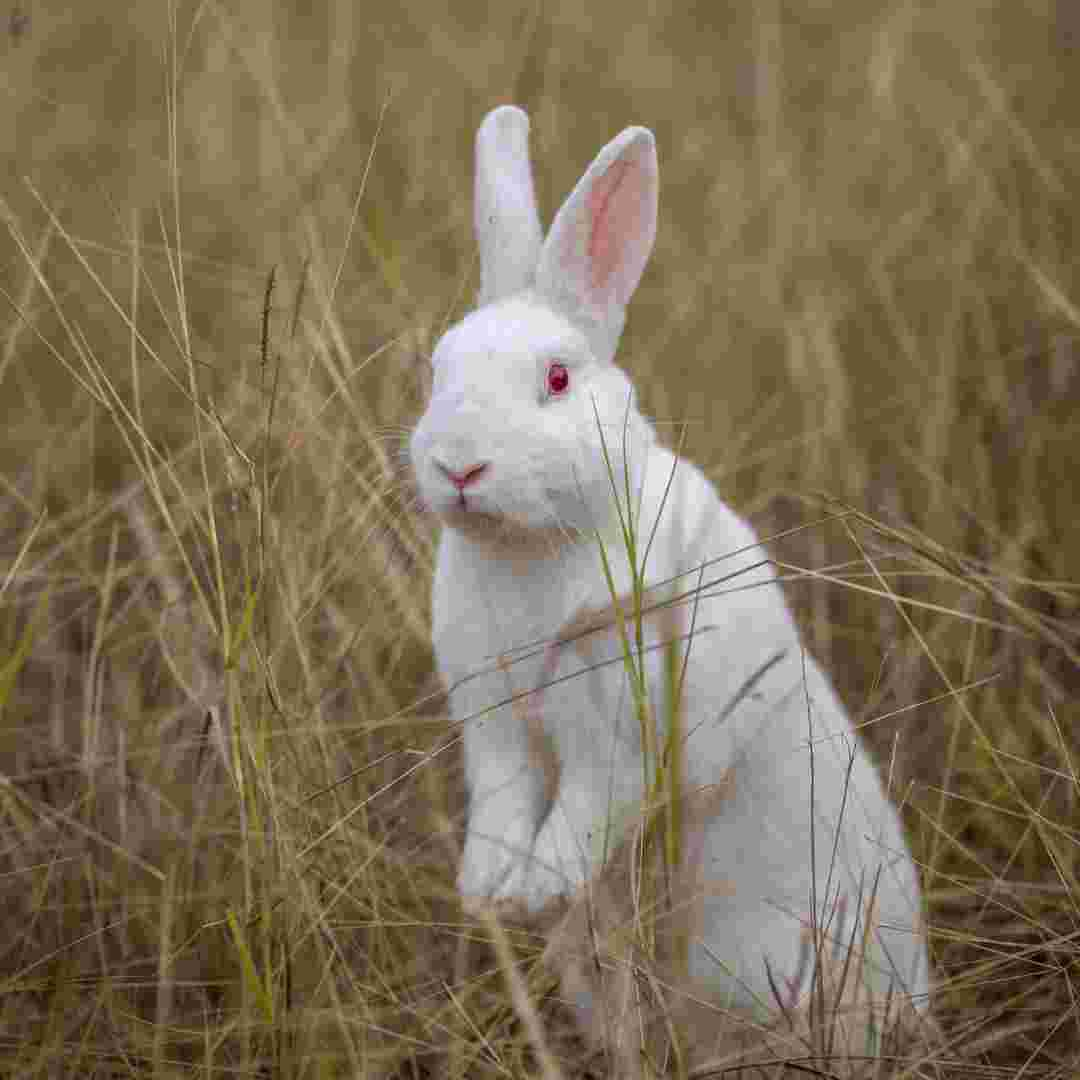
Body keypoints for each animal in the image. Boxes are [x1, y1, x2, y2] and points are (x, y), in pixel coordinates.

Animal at [406, 105, 928, 1015]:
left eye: (556, 378)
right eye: (438, 371)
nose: (459, 467)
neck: (530, 547)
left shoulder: (618, 725)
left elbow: (585, 809)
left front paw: (540, 888)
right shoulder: (493, 724)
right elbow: (502, 805)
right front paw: (489, 892)